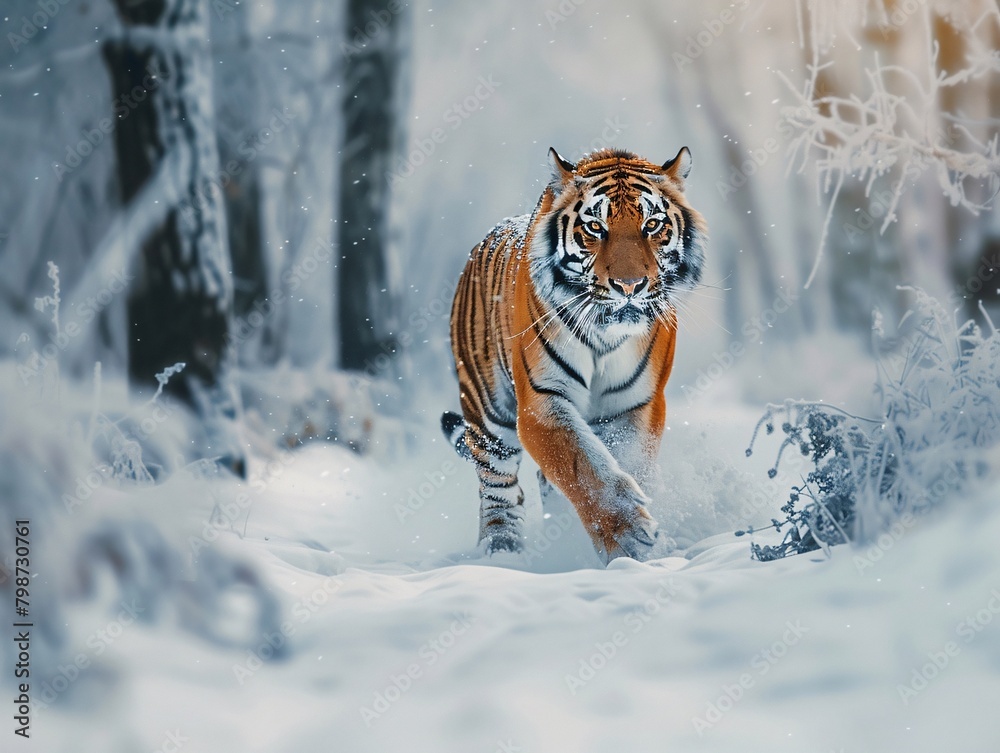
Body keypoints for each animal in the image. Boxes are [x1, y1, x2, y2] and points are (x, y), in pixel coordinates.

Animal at [441, 147, 707, 563]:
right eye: (596, 227)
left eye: (652, 225)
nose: (629, 285)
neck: (606, 334)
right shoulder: (541, 401)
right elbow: (582, 466)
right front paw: (630, 537)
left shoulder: (638, 404)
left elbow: (624, 463)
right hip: (488, 412)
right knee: (497, 487)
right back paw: (502, 551)